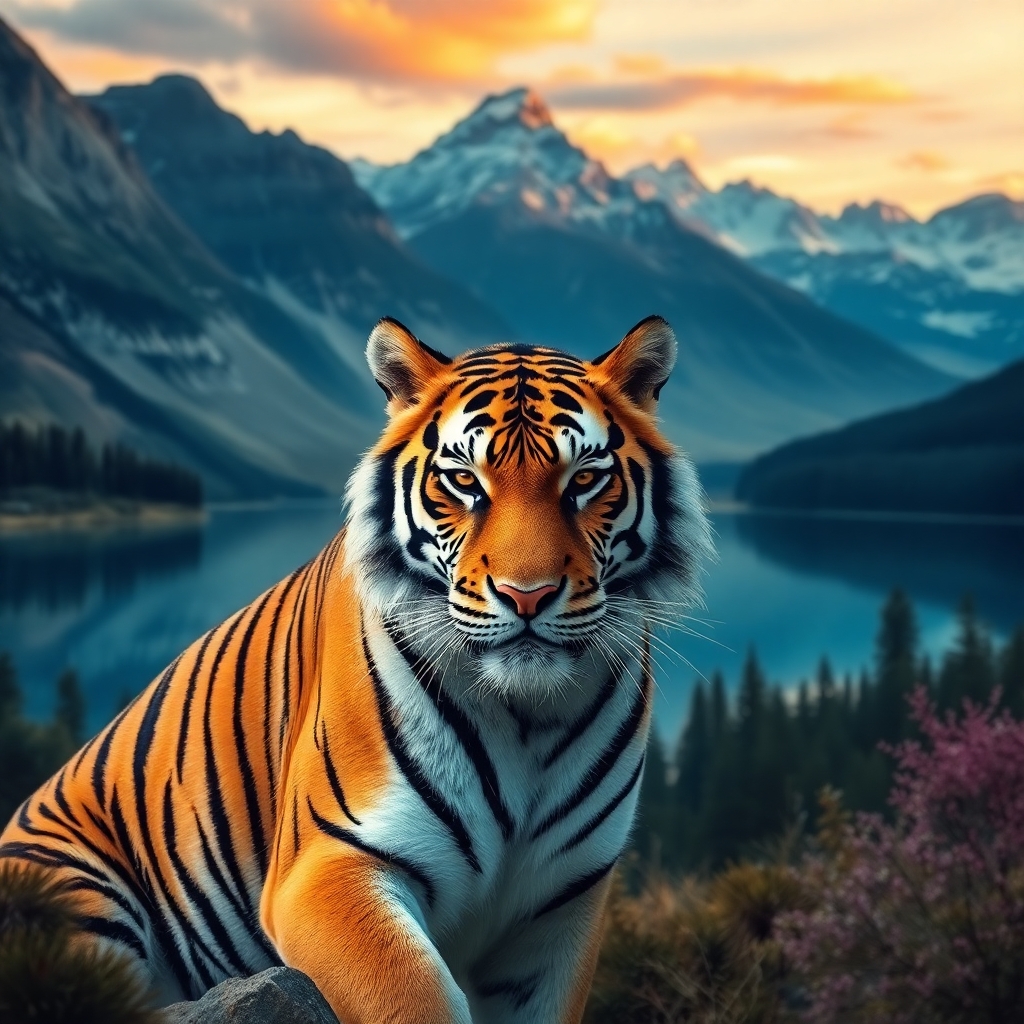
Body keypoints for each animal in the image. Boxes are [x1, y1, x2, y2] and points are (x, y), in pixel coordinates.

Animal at [0, 314, 713, 1023]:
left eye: (584, 480)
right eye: (465, 481)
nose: (528, 595)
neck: (528, 719)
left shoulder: (563, 905)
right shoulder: (330, 866)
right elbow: (415, 1000)